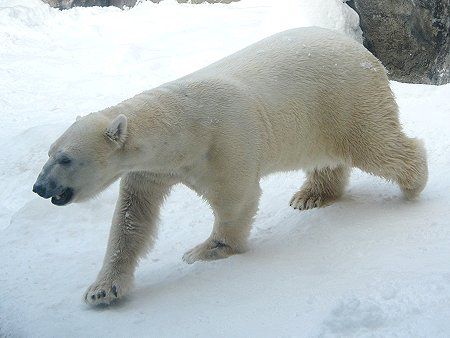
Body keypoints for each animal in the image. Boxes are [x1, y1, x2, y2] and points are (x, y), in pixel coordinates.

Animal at [33, 27, 428, 304]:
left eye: (65, 158)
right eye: (48, 152)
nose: (39, 187)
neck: (181, 125)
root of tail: (362, 50)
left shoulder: (223, 142)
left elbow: (236, 196)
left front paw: (205, 251)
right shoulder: (152, 170)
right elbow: (132, 219)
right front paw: (102, 290)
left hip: (345, 100)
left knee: (376, 145)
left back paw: (414, 182)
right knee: (325, 157)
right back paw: (310, 196)